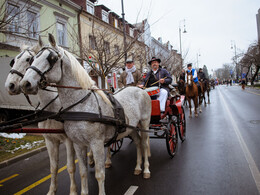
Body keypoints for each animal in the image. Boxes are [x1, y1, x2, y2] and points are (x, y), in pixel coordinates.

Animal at [4, 38, 77, 194]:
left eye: (28, 59)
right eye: (14, 61)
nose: (10, 86)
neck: (52, 106)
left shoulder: (68, 139)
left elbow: (70, 167)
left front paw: (73, 191)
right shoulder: (50, 140)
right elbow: (53, 167)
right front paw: (52, 190)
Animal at [20, 34, 152, 195]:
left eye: (51, 58)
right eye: (33, 59)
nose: (25, 83)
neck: (81, 106)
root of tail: (140, 89)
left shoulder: (96, 143)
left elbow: (100, 175)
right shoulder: (78, 144)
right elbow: (82, 172)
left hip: (144, 123)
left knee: (144, 143)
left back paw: (146, 170)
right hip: (131, 127)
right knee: (138, 143)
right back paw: (138, 167)